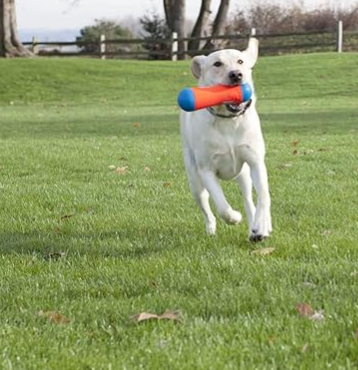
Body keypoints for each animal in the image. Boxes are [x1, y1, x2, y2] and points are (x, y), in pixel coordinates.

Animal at [182, 37, 272, 240]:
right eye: (217, 64)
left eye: (240, 61)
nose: (236, 75)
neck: (229, 121)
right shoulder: (206, 170)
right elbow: (222, 206)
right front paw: (234, 217)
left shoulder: (255, 161)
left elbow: (263, 195)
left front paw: (262, 226)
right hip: (194, 181)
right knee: (206, 207)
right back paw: (211, 229)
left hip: (243, 174)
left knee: (248, 199)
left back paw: (254, 227)